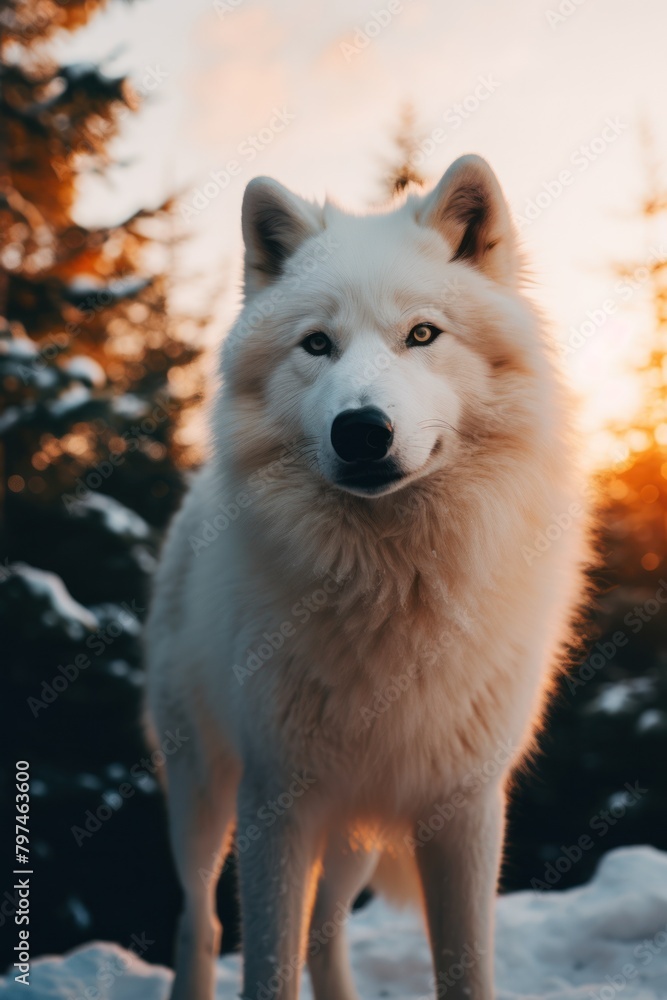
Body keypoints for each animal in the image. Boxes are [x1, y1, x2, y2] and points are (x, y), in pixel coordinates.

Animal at [145, 156, 588, 1000]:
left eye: (422, 334)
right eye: (316, 344)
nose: (360, 430)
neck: (394, 583)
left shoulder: (463, 806)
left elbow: (464, 968)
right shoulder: (275, 800)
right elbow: (267, 965)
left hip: (354, 829)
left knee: (324, 928)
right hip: (202, 790)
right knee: (200, 919)